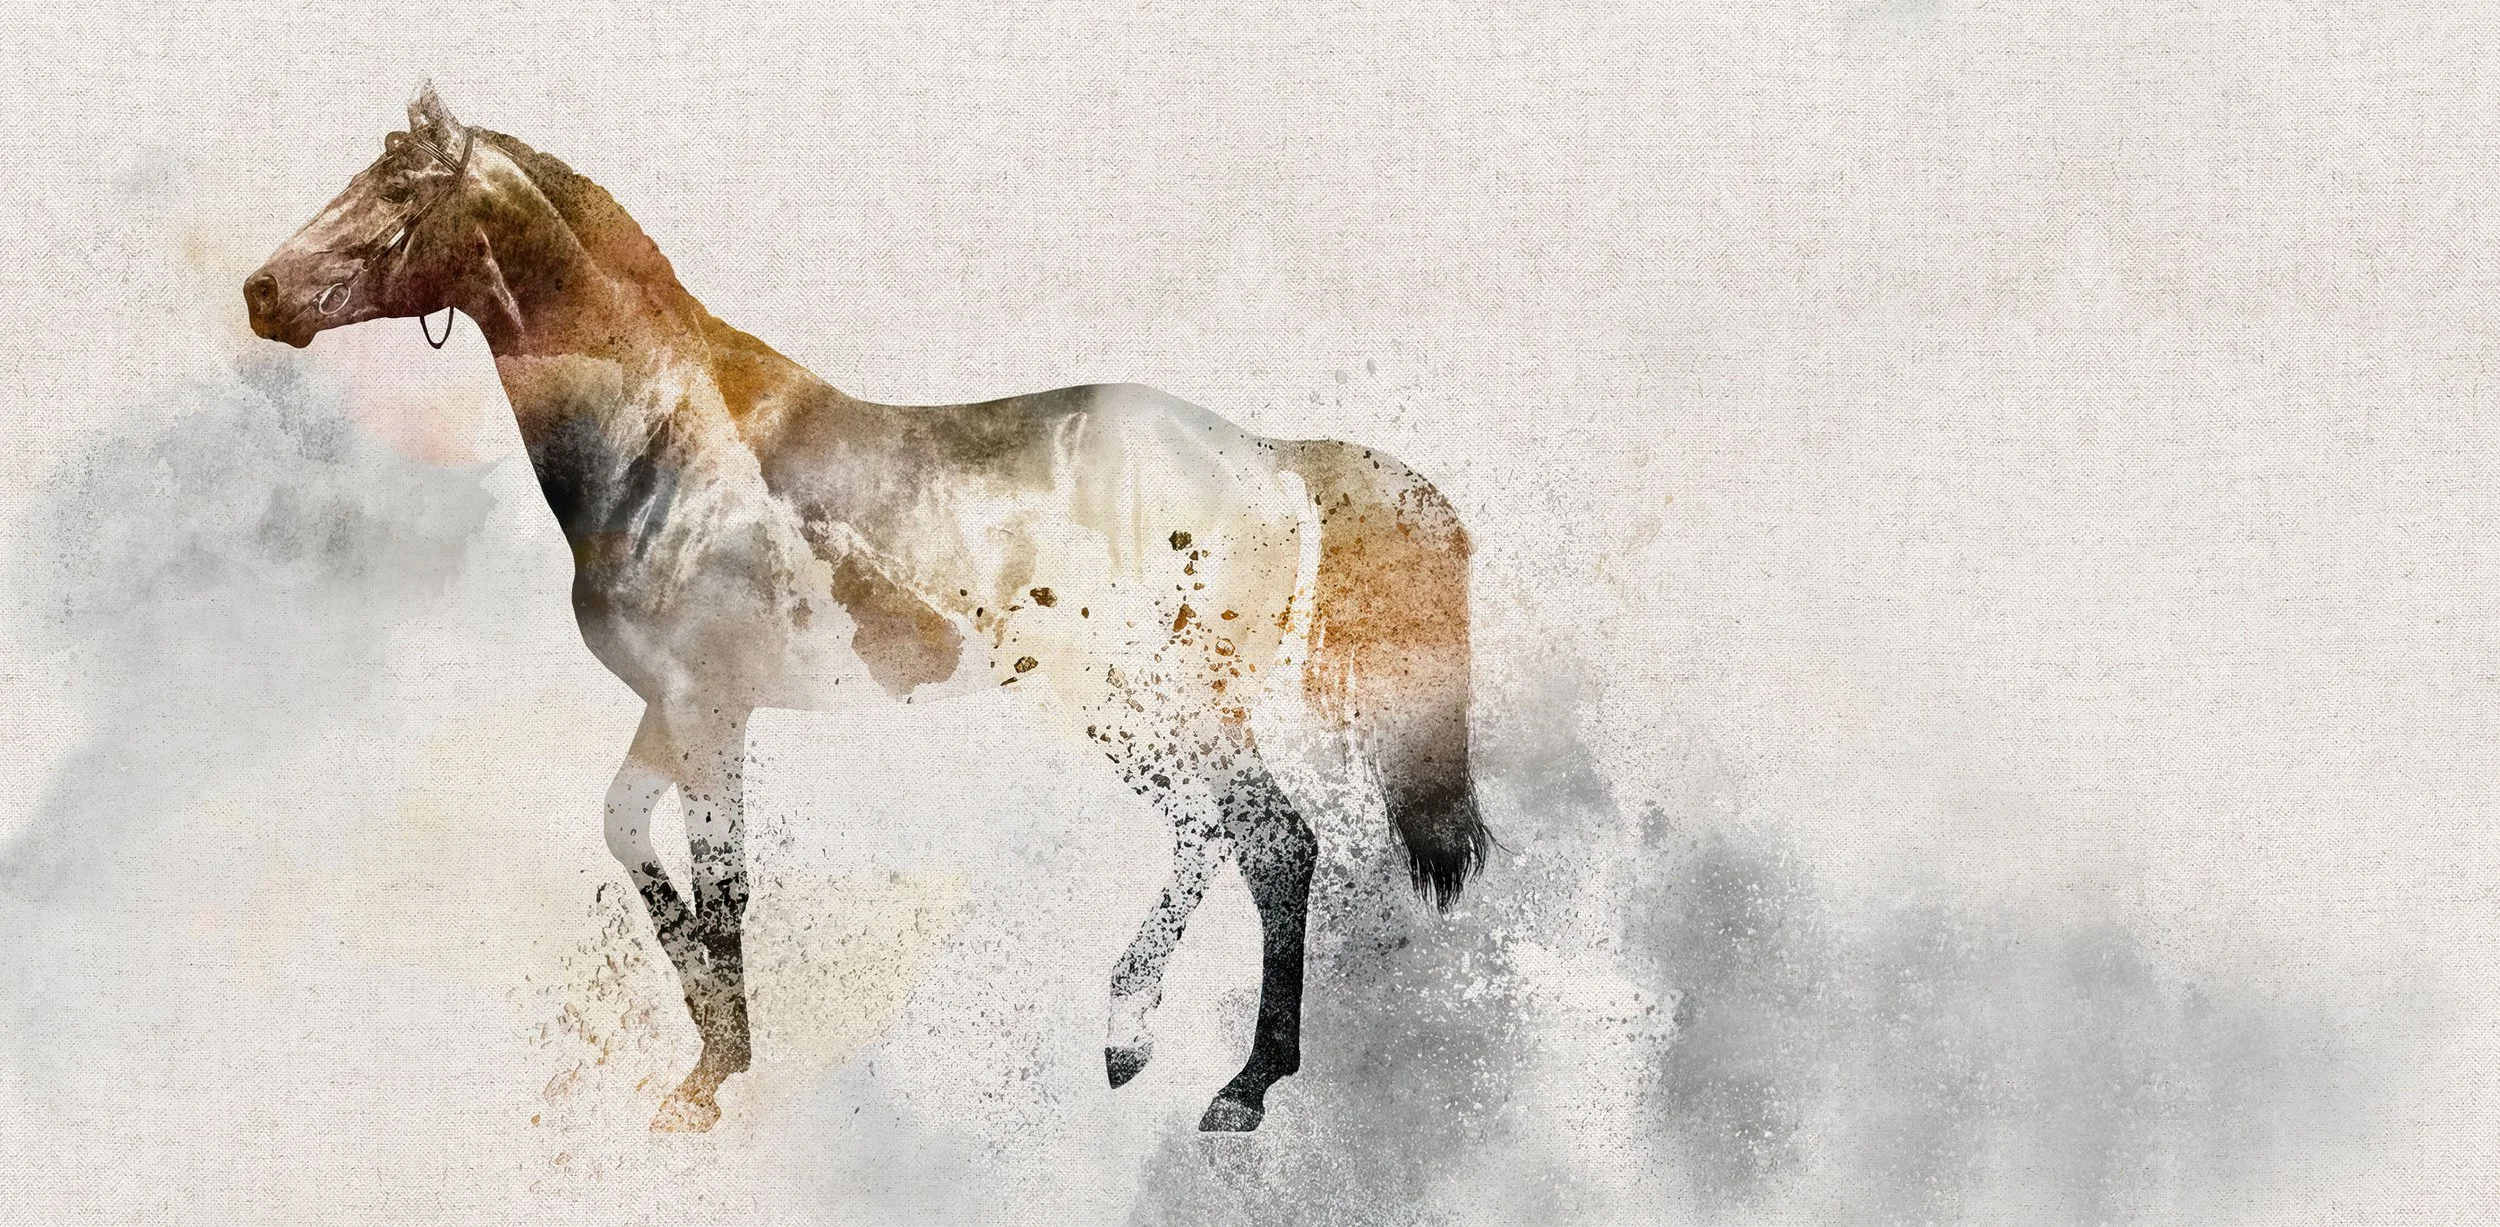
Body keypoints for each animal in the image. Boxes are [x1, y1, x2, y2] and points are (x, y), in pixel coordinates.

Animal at [244, 84, 1488, 1134]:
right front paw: (706, 1046)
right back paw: (1157, 1049)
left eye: (399, 191)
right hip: (1135, 707)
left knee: (1271, 843)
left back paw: (1223, 1078)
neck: (664, 448)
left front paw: (710, 1083)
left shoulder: (712, 712)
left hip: (1161, 700)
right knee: (1220, 835)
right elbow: (629, 840)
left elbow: (728, 886)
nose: (261, 295)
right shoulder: (671, 707)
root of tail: (1270, 458)